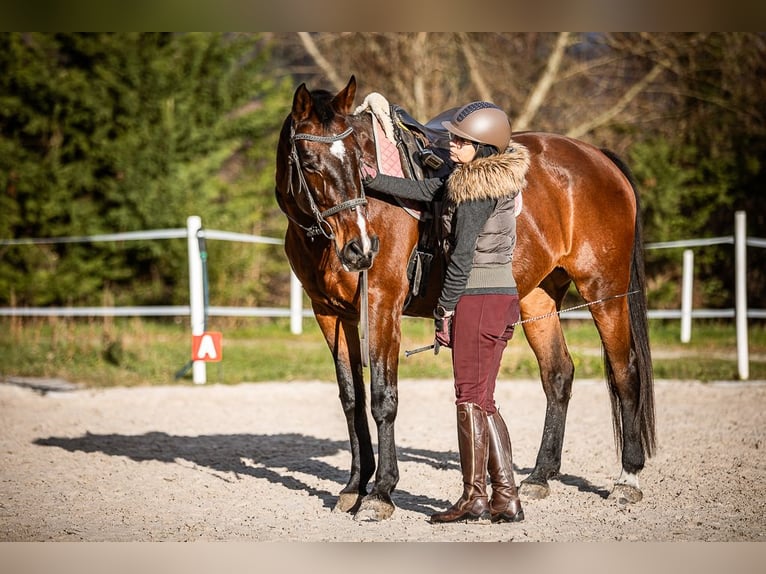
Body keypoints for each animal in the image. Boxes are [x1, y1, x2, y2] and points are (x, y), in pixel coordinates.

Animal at [272, 75, 656, 520]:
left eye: (358, 161)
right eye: (310, 163)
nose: (360, 249)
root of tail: (597, 157)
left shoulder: (383, 305)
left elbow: (383, 398)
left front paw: (381, 493)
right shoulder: (332, 315)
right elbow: (352, 400)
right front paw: (354, 486)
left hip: (605, 292)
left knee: (626, 371)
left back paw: (628, 478)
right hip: (538, 298)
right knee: (558, 374)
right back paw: (540, 476)